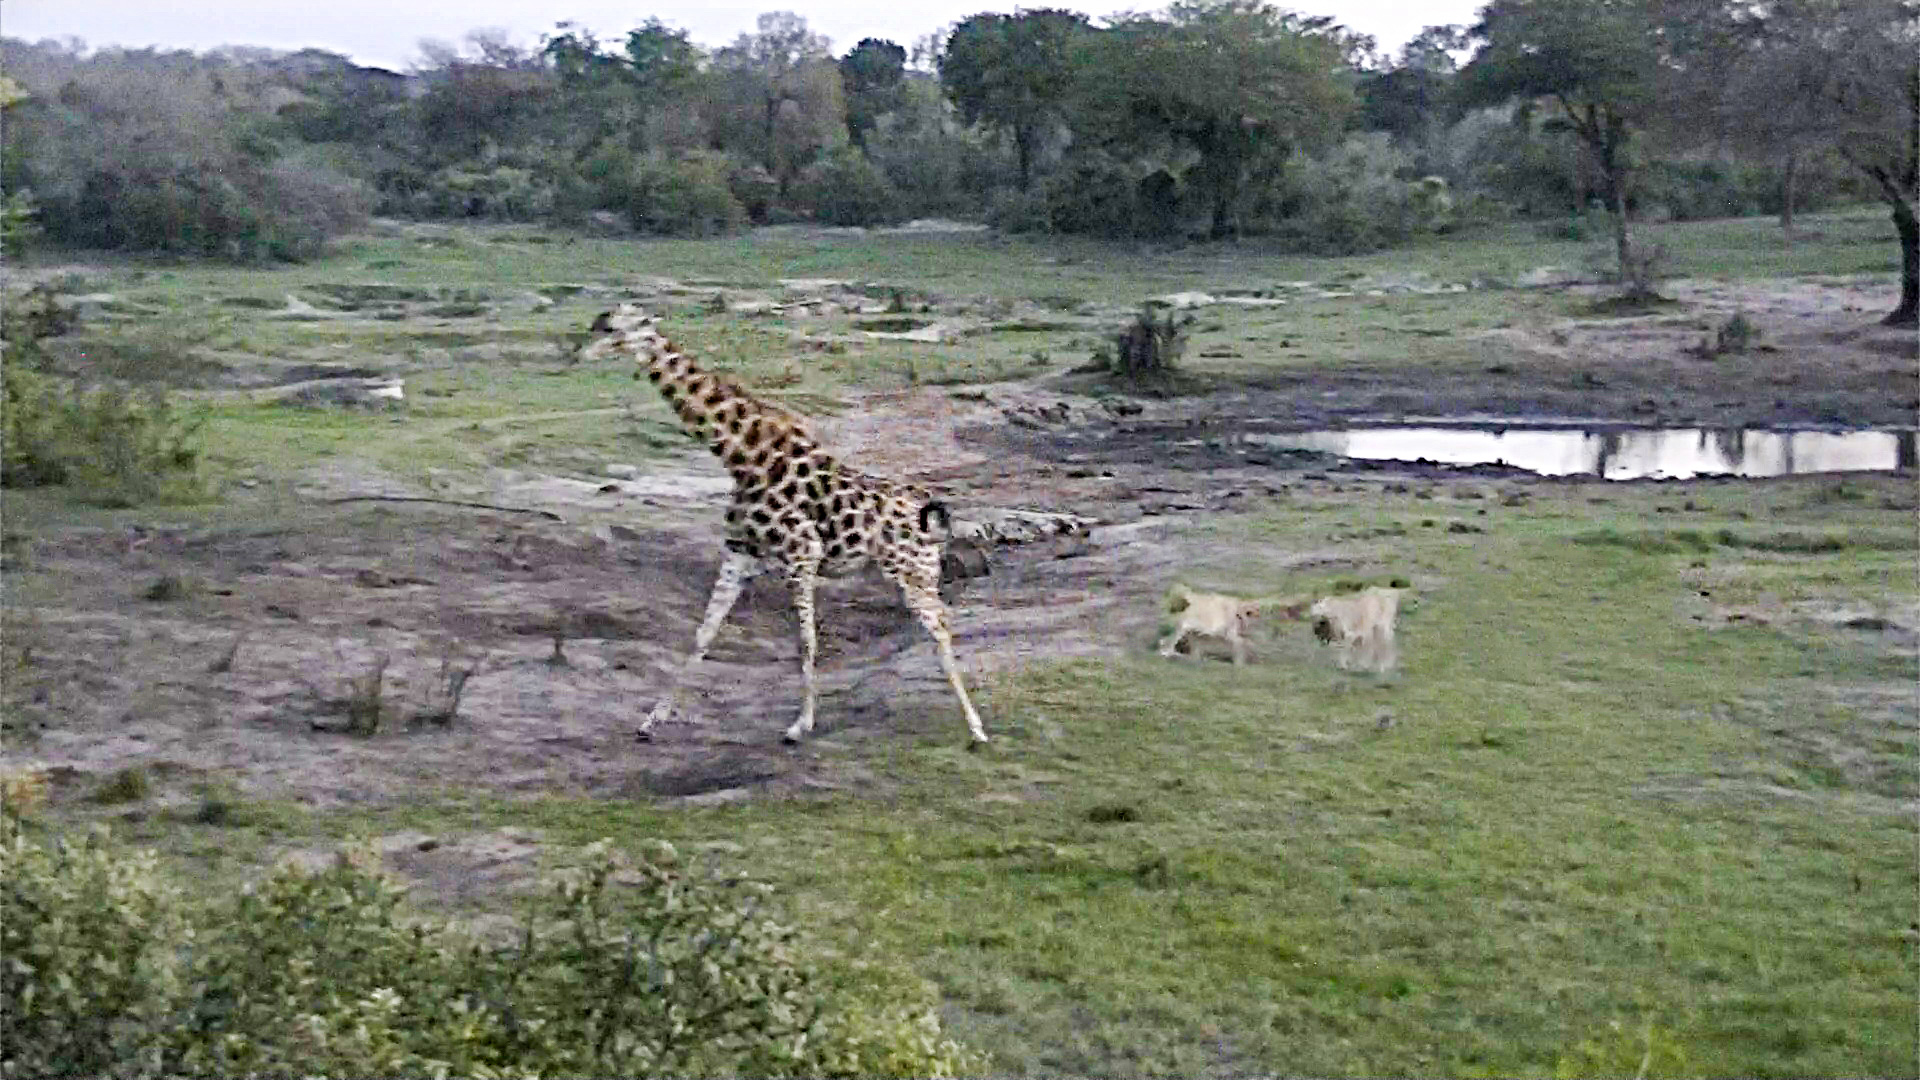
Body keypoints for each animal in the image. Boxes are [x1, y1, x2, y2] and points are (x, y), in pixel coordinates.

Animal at [578, 303, 989, 746]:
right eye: (599, 324)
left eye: (614, 329)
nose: (581, 353)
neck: (741, 458)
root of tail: (928, 510)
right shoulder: (739, 552)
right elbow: (703, 634)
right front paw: (651, 721)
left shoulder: (801, 553)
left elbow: (806, 640)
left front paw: (800, 725)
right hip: (916, 572)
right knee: (943, 623)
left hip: (912, 571)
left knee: (942, 626)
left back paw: (976, 728)